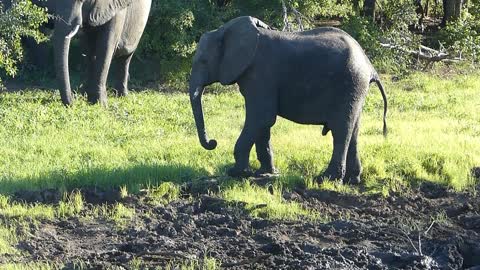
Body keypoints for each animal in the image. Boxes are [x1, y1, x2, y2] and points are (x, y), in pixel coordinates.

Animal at [189, 16, 388, 185]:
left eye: (203, 61)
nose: (213, 142)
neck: (224, 30)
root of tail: (370, 67)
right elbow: (263, 123)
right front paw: (265, 173)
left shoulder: (261, 73)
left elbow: (262, 117)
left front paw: (237, 173)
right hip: (356, 89)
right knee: (354, 130)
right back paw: (352, 180)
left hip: (349, 83)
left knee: (341, 130)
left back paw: (326, 180)